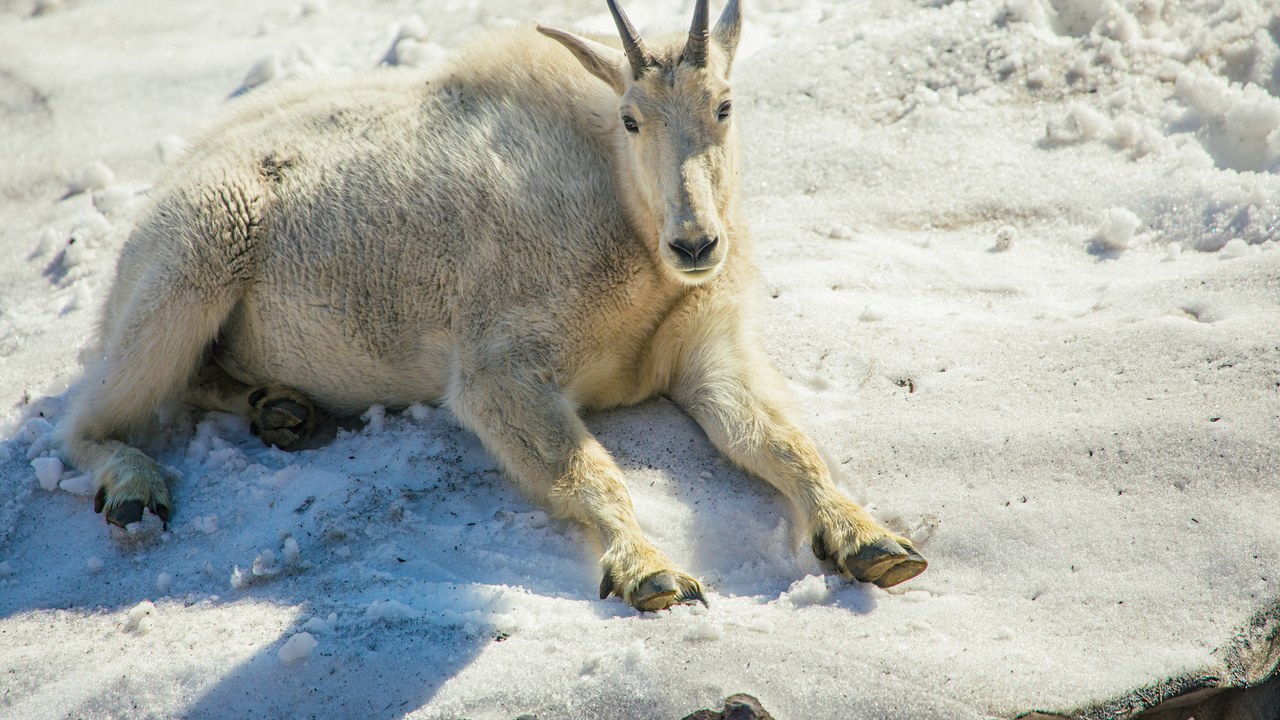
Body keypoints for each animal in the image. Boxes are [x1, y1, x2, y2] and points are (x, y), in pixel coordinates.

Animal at [56, 0, 927, 611]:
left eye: (725, 105)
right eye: (631, 117)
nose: (696, 243)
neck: (628, 228)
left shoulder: (706, 351)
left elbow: (781, 441)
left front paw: (871, 539)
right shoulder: (499, 370)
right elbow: (587, 471)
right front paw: (649, 573)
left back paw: (283, 410)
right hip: (196, 260)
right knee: (88, 421)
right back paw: (136, 485)